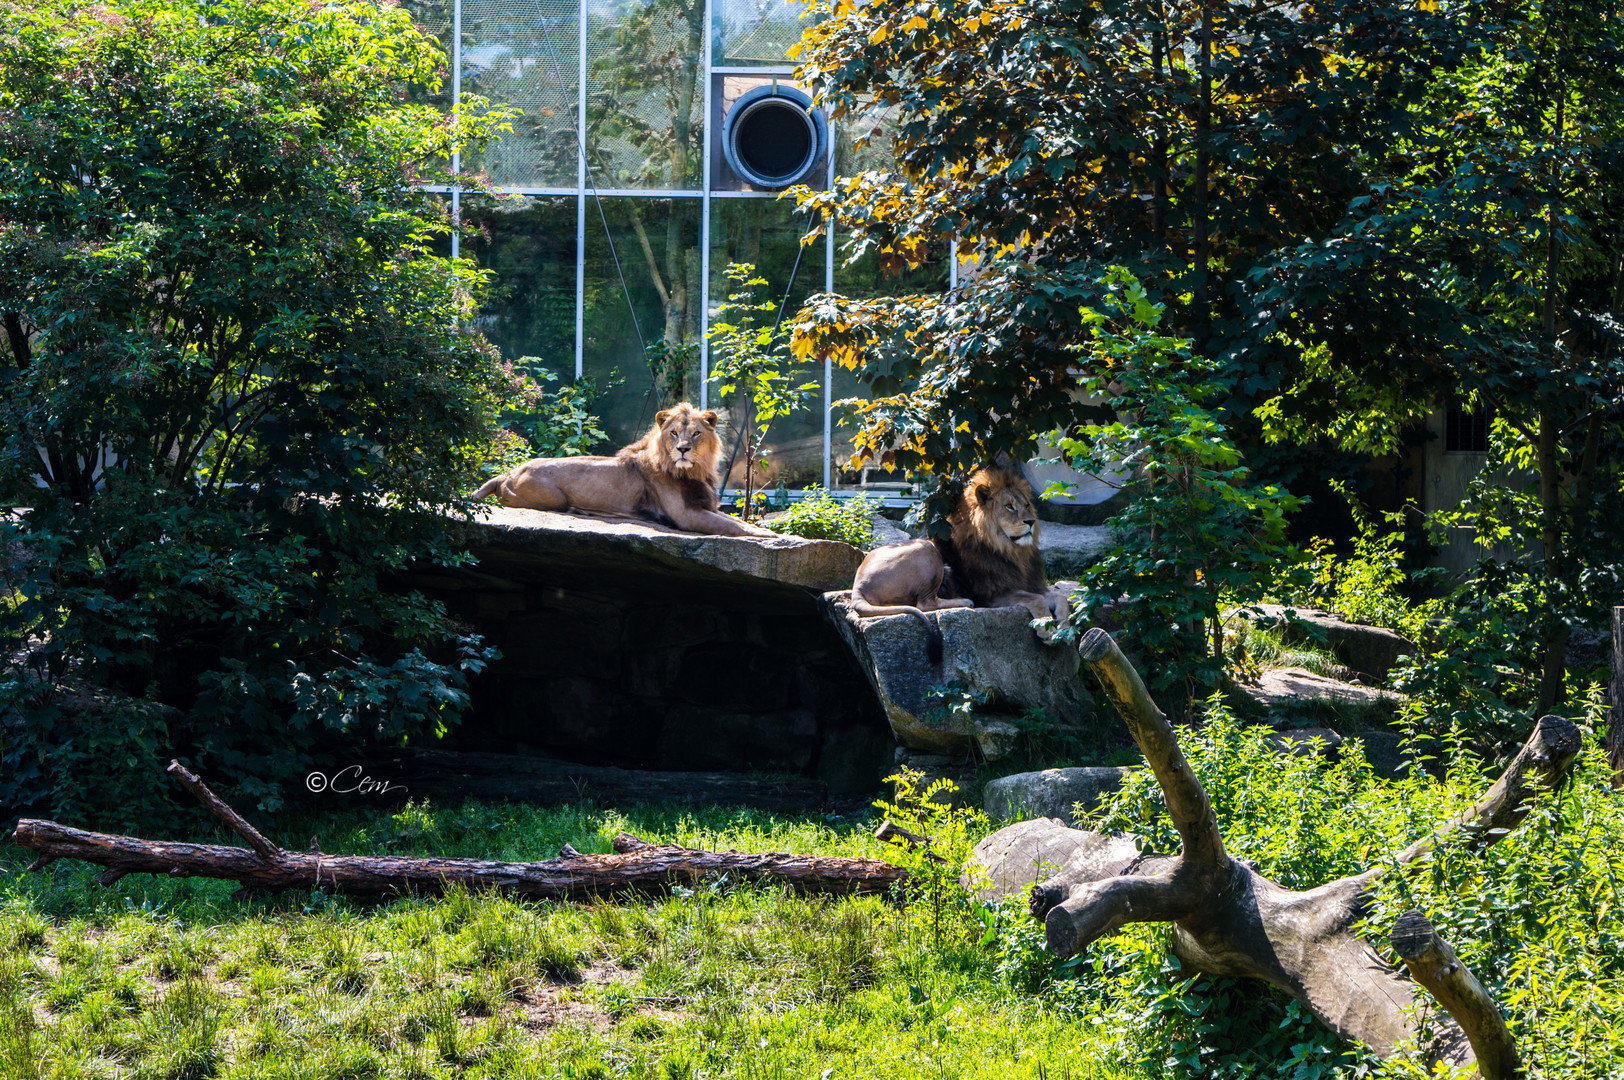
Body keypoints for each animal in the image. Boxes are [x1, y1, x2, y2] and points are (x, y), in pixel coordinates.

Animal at [470, 402, 773, 535]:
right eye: (674, 433)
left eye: (696, 433)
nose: (683, 449)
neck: (693, 471)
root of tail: (507, 472)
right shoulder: (686, 515)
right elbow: (733, 526)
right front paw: (766, 536)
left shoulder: (704, 507)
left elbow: (736, 521)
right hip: (552, 497)